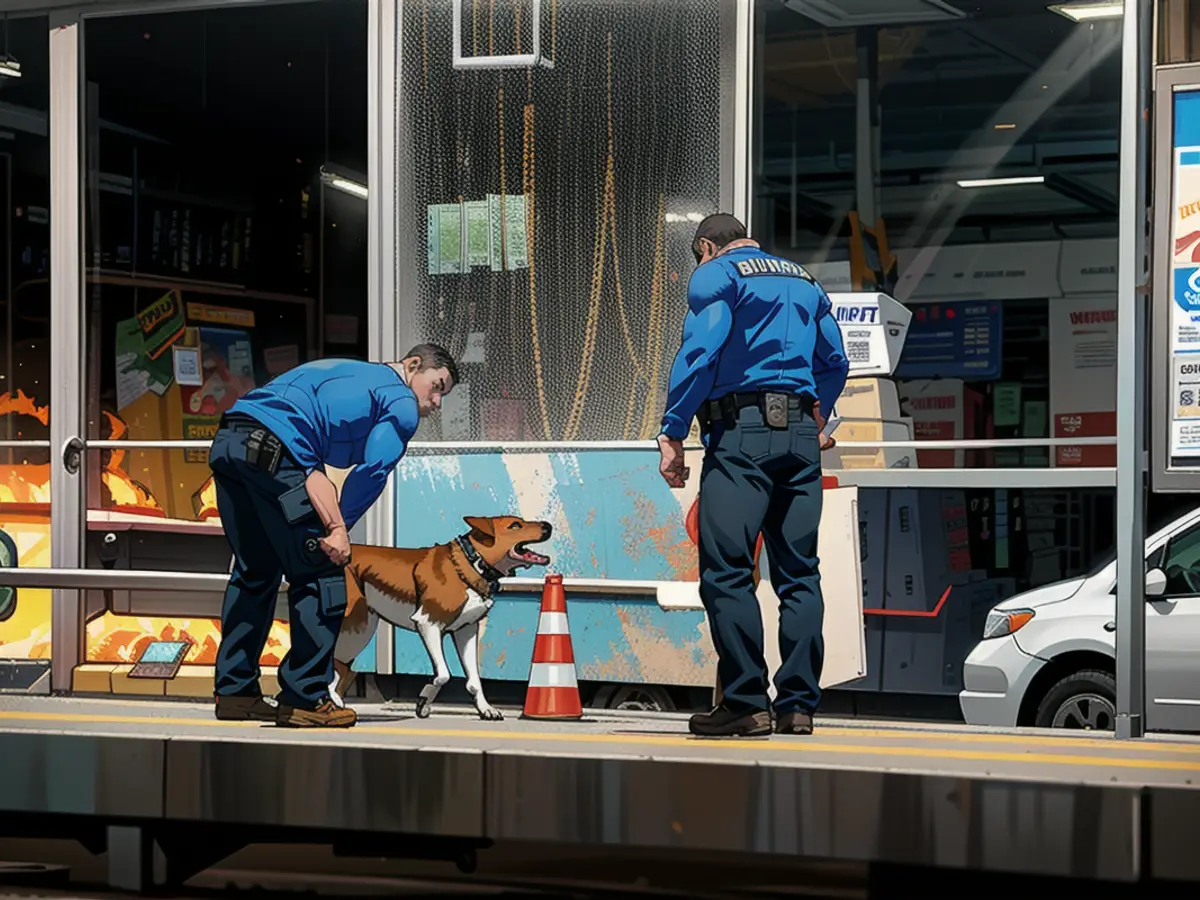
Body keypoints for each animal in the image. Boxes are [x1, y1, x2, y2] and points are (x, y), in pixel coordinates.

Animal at [328, 518, 552, 724]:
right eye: (515, 525)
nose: (548, 525)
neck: (471, 562)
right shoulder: (429, 624)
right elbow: (444, 674)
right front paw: (424, 699)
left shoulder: (466, 631)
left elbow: (474, 679)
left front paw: (485, 709)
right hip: (353, 627)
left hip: (359, 631)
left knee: (341, 666)